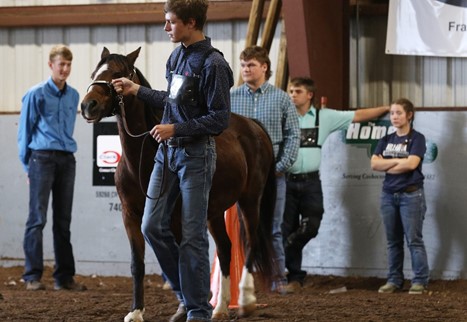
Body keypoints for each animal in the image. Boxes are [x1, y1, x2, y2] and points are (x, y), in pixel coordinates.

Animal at [81, 46, 278, 320]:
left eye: (118, 73)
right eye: (94, 73)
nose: (88, 105)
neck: (140, 162)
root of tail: (253, 126)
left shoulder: (176, 219)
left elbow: (180, 258)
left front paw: (186, 307)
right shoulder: (131, 216)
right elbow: (138, 264)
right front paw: (136, 311)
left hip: (250, 199)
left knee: (250, 243)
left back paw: (245, 300)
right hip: (213, 212)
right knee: (226, 248)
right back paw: (219, 308)